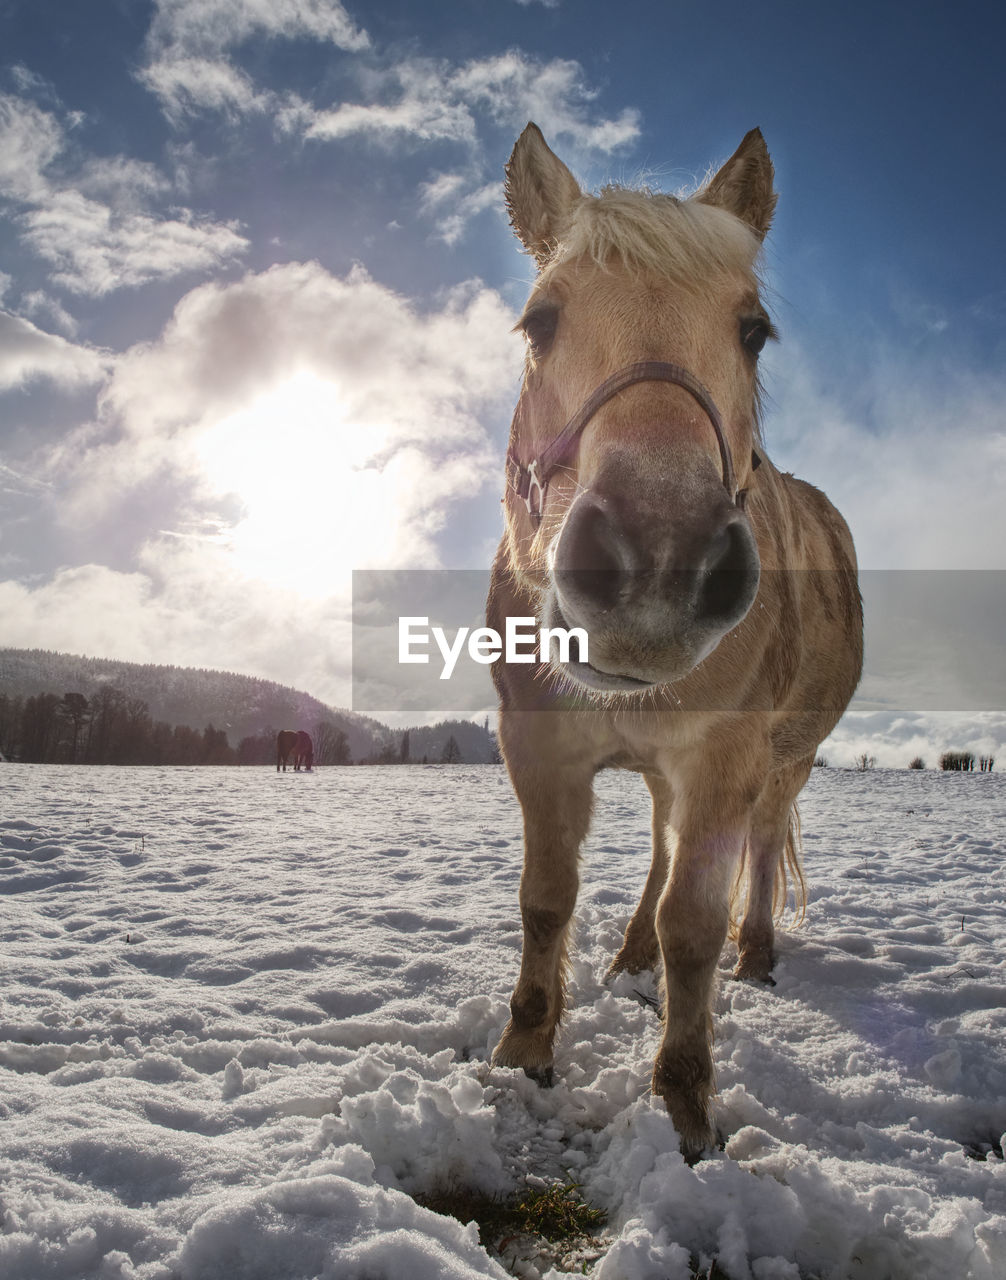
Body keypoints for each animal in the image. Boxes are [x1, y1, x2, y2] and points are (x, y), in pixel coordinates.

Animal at [488, 122, 860, 1162]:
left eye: (752, 330)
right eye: (539, 322)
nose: (658, 556)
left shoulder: (725, 758)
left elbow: (695, 920)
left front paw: (688, 1108)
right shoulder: (538, 748)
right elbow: (547, 899)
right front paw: (523, 1052)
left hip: (787, 758)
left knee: (761, 846)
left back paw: (757, 952)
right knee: (660, 850)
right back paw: (630, 956)